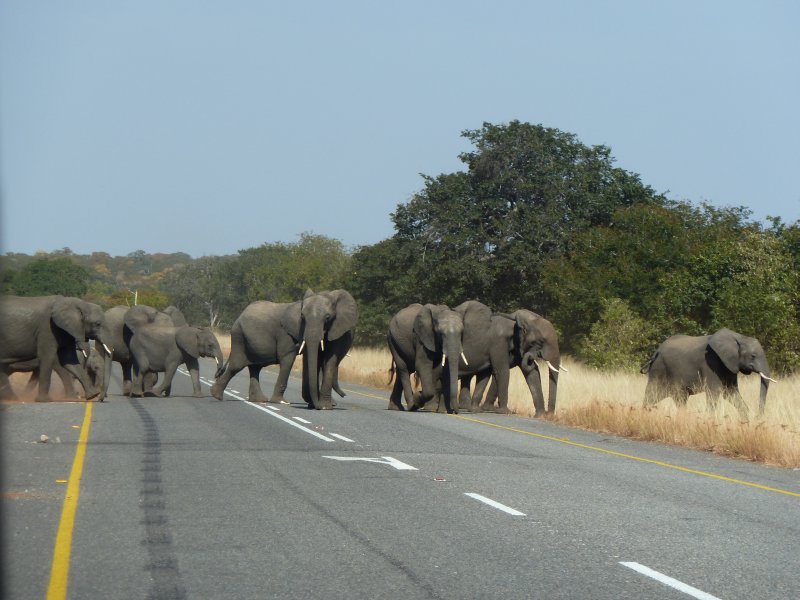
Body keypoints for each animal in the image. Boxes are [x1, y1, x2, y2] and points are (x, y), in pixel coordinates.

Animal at [214, 290, 360, 410]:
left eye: (328, 317)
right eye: (302, 317)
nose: (344, 395)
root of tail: (240, 315)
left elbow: (326, 359)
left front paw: (323, 405)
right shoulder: (286, 333)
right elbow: (288, 359)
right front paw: (280, 402)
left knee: (254, 368)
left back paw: (259, 400)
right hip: (239, 336)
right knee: (237, 365)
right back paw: (216, 395)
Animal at [636, 328, 776, 418]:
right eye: (753, 356)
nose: (758, 417)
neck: (739, 337)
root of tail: (657, 351)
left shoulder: (729, 366)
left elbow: (731, 392)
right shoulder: (711, 363)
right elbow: (714, 392)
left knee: (677, 398)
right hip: (659, 370)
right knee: (653, 394)